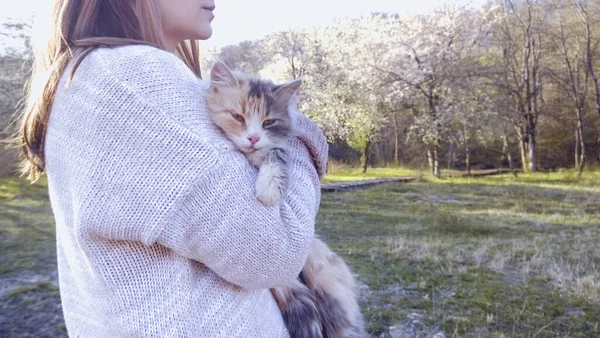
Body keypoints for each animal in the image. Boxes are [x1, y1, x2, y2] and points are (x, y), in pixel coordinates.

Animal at [205, 61, 366, 338]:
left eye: (268, 122)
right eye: (238, 117)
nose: (253, 138)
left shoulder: (276, 149)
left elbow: (277, 154)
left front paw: (269, 188)